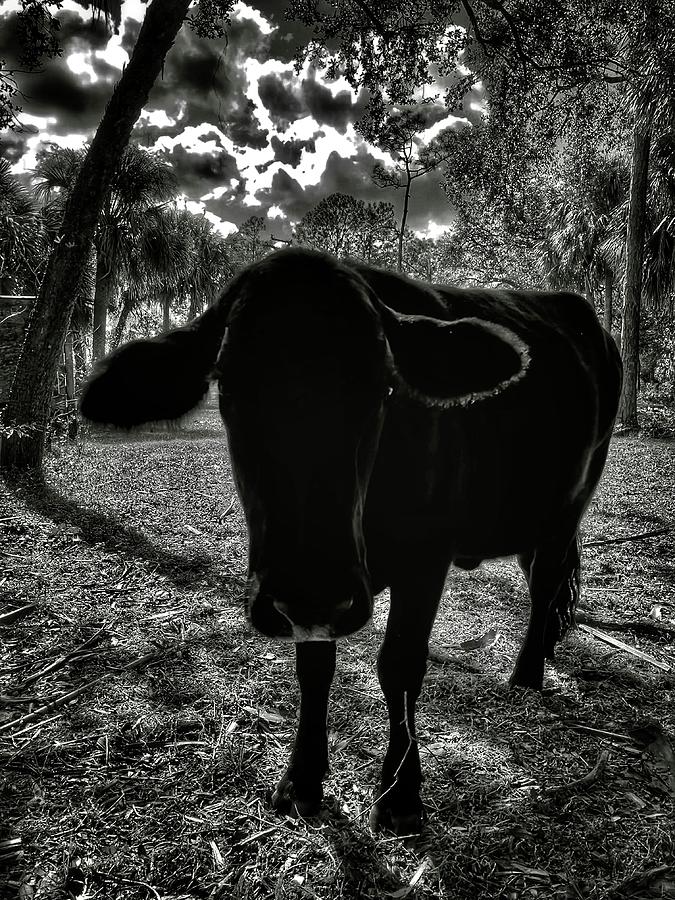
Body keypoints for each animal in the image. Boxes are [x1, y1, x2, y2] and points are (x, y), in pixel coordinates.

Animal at [80, 248, 624, 836]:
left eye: (384, 387)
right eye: (226, 384)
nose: (311, 586)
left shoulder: (424, 557)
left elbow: (401, 664)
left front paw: (401, 793)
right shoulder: (310, 600)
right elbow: (314, 669)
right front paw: (302, 781)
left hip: (575, 495)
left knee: (547, 580)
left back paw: (526, 673)